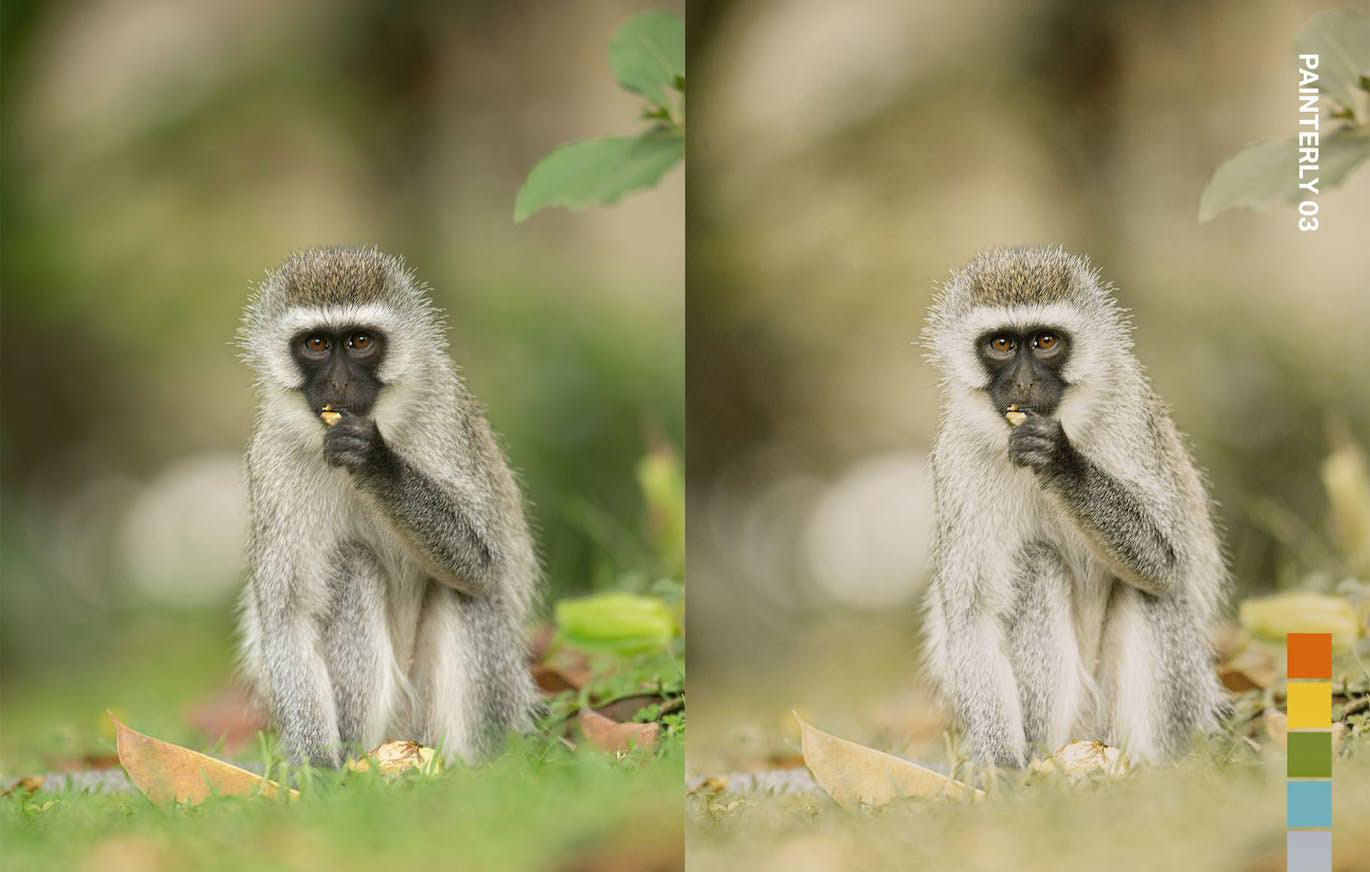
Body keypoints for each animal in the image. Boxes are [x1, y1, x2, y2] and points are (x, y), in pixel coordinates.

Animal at [238, 244, 537, 762]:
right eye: (316, 344)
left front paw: (378, 464)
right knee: (352, 568)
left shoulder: (443, 415)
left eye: (359, 341)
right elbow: (288, 618)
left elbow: (479, 561)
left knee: (470, 593)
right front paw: (317, 769)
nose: (339, 385)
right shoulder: (273, 463)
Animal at [926, 244, 1227, 762]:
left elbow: (1165, 560)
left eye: (1045, 341)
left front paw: (1064, 464)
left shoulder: (1129, 416)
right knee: (1036, 568)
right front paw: (1001, 769)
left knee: (1154, 592)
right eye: (1002, 345)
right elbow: (973, 617)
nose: (1024, 386)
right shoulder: (958, 463)